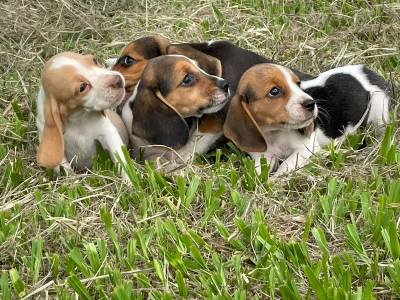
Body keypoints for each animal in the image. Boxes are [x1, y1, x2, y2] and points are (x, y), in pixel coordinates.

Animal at [36, 51, 130, 180]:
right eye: (82, 87)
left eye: (94, 60)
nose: (118, 80)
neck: (79, 118)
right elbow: (66, 169)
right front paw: (73, 181)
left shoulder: (108, 134)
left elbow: (122, 161)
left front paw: (129, 182)